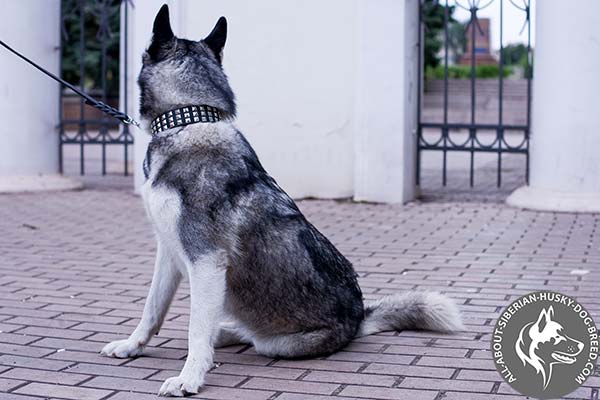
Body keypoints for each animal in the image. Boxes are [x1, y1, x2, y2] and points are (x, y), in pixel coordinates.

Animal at [101, 4, 462, 396]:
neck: (188, 119)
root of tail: (358, 318)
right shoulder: (169, 251)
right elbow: (152, 309)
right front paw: (132, 346)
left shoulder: (206, 261)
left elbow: (196, 329)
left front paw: (189, 378)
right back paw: (224, 334)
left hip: (277, 342)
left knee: (245, 336)